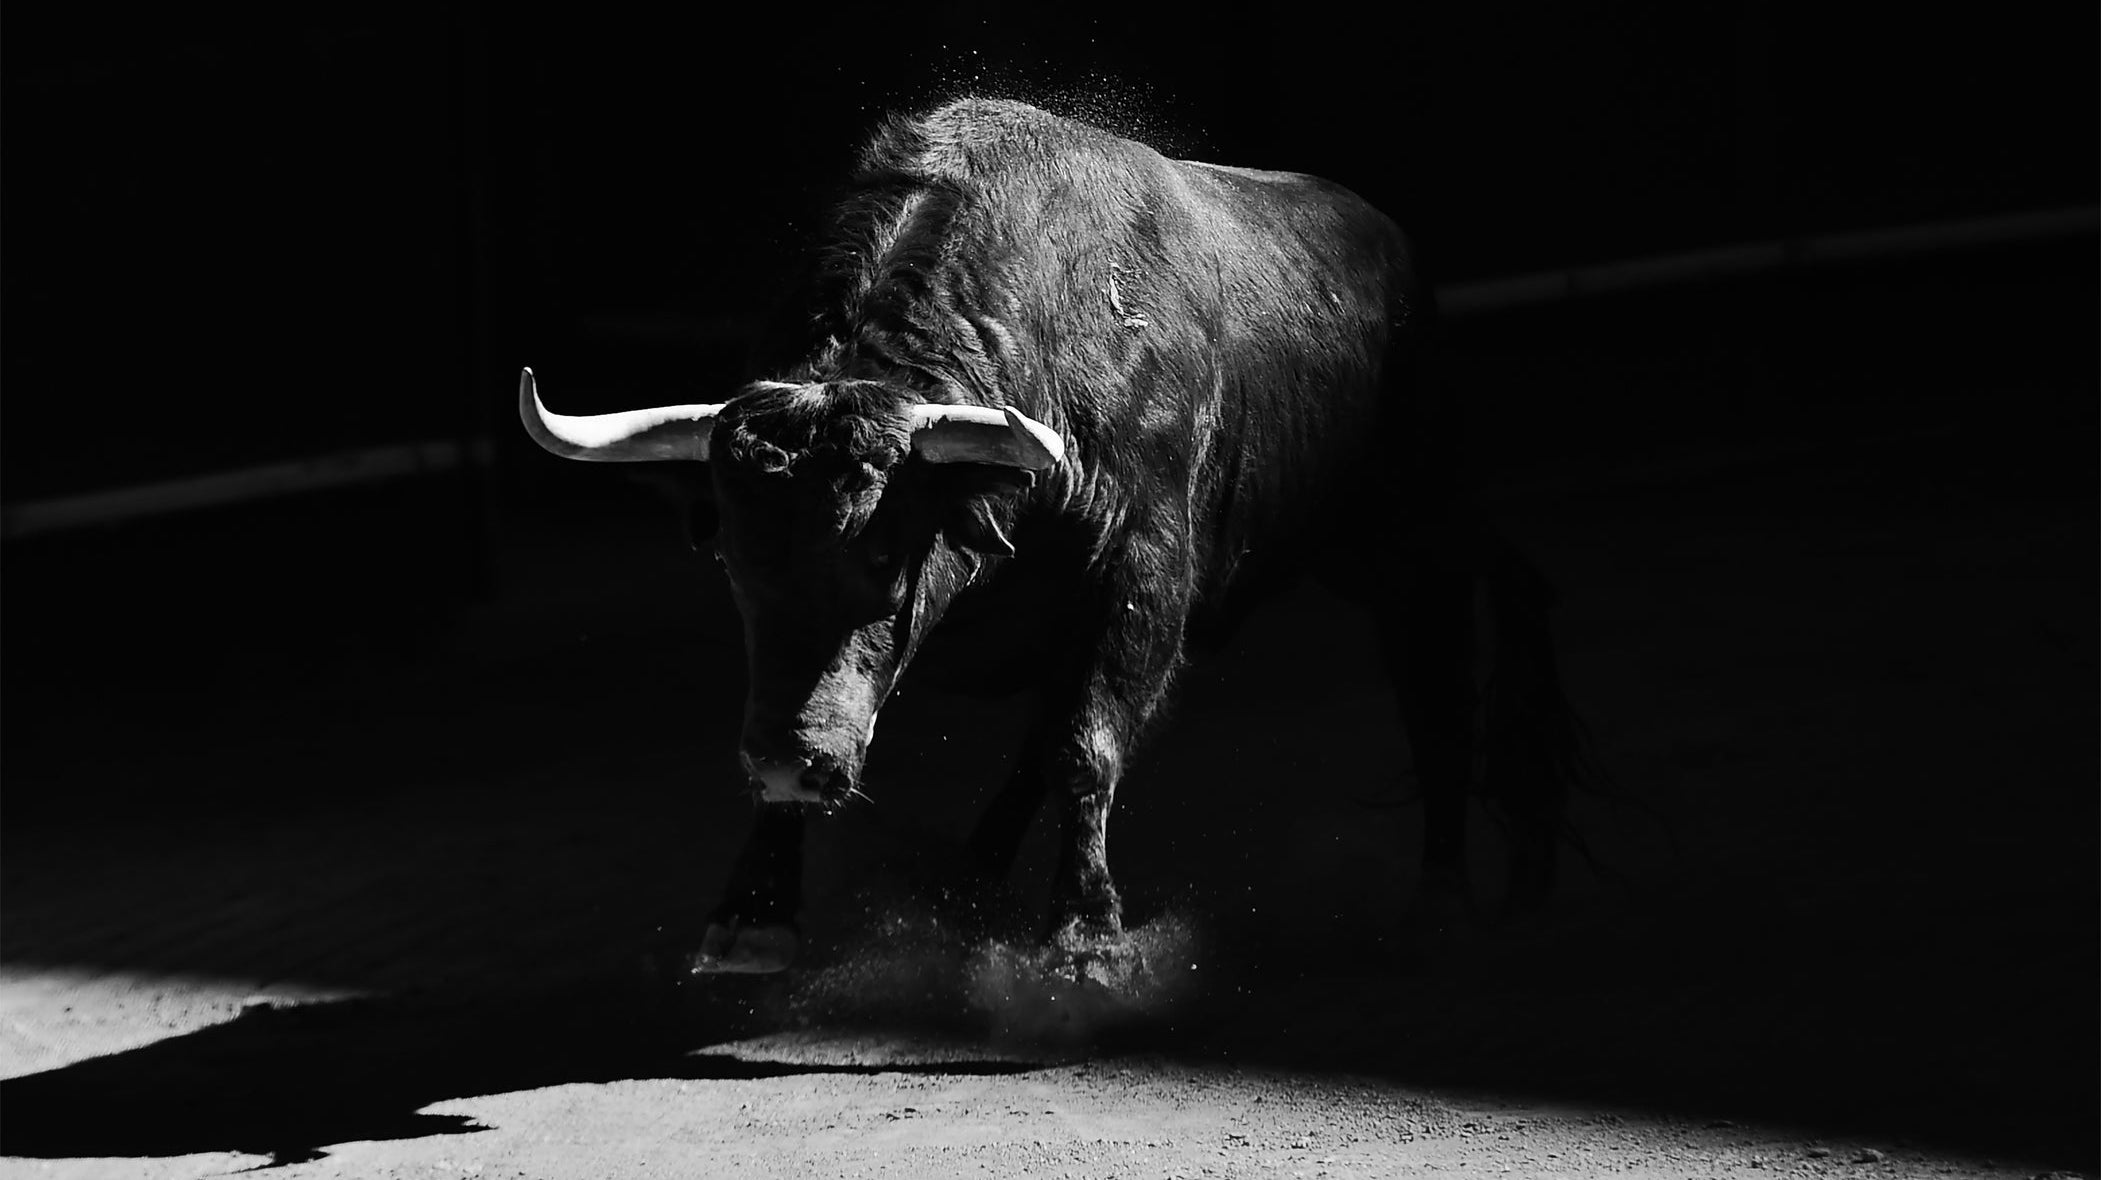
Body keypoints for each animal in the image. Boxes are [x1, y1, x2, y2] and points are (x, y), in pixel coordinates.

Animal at [520, 97, 1598, 974]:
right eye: (736, 565)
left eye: (883, 553)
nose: (795, 764)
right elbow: (1018, 735)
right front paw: (753, 915)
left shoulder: (1143, 576)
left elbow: (1086, 743)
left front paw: (1085, 939)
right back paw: (964, 878)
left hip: (1411, 539)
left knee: (1438, 695)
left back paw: (1439, 907)